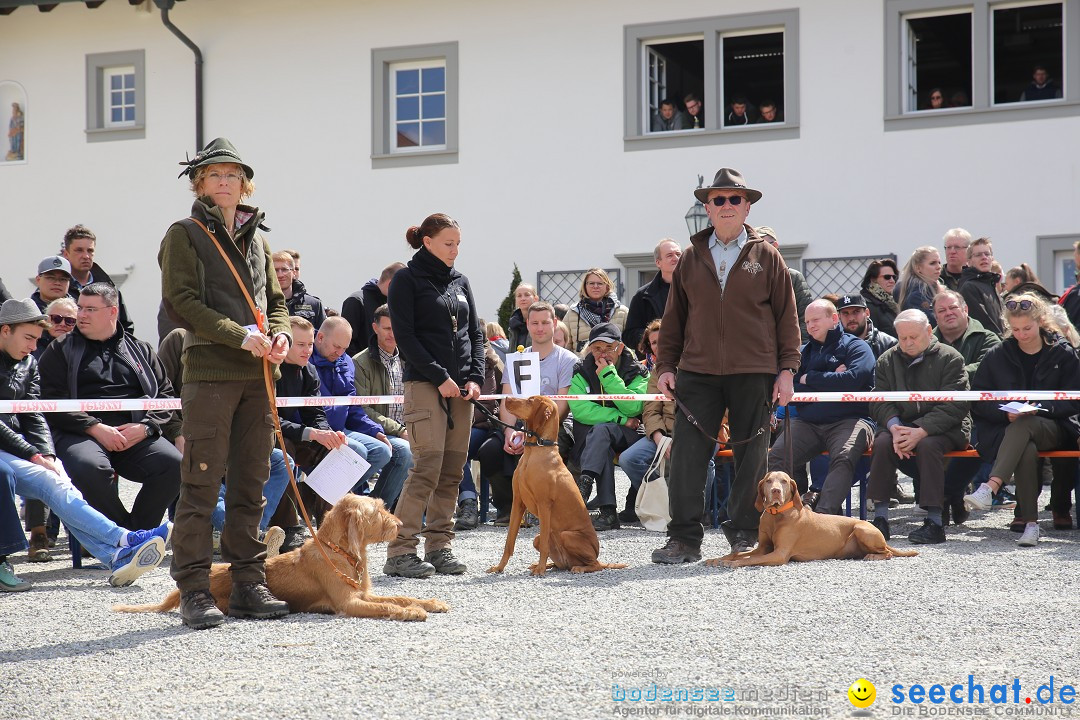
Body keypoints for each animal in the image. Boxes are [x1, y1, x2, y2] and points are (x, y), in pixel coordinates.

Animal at [117, 496, 451, 621]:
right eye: (377, 511)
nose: (399, 523)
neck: (338, 552)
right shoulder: (350, 604)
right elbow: (388, 606)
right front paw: (412, 613)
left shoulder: (364, 594)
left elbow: (401, 596)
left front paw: (429, 603)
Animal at [488, 397, 630, 578]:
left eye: (530, 401)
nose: (506, 398)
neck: (536, 450)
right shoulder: (518, 502)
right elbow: (509, 542)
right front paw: (499, 567)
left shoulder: (544, 504)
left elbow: (544, 546)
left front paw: (540, 570)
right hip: (538, 539)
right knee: (558, 562)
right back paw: (544, 565)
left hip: (567, 536)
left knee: (595, 565)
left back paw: (577, 568)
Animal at [708, 472, 920, 569]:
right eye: (768, 481)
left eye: (784, 481)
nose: (775, 491)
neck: (776, 515)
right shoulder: (764, 547)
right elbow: (740, 553)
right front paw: (717, 559)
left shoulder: (779, 554)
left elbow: (751, 559)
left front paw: (731, 563)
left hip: (861, 529)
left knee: (887, 553)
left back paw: (874, 556)